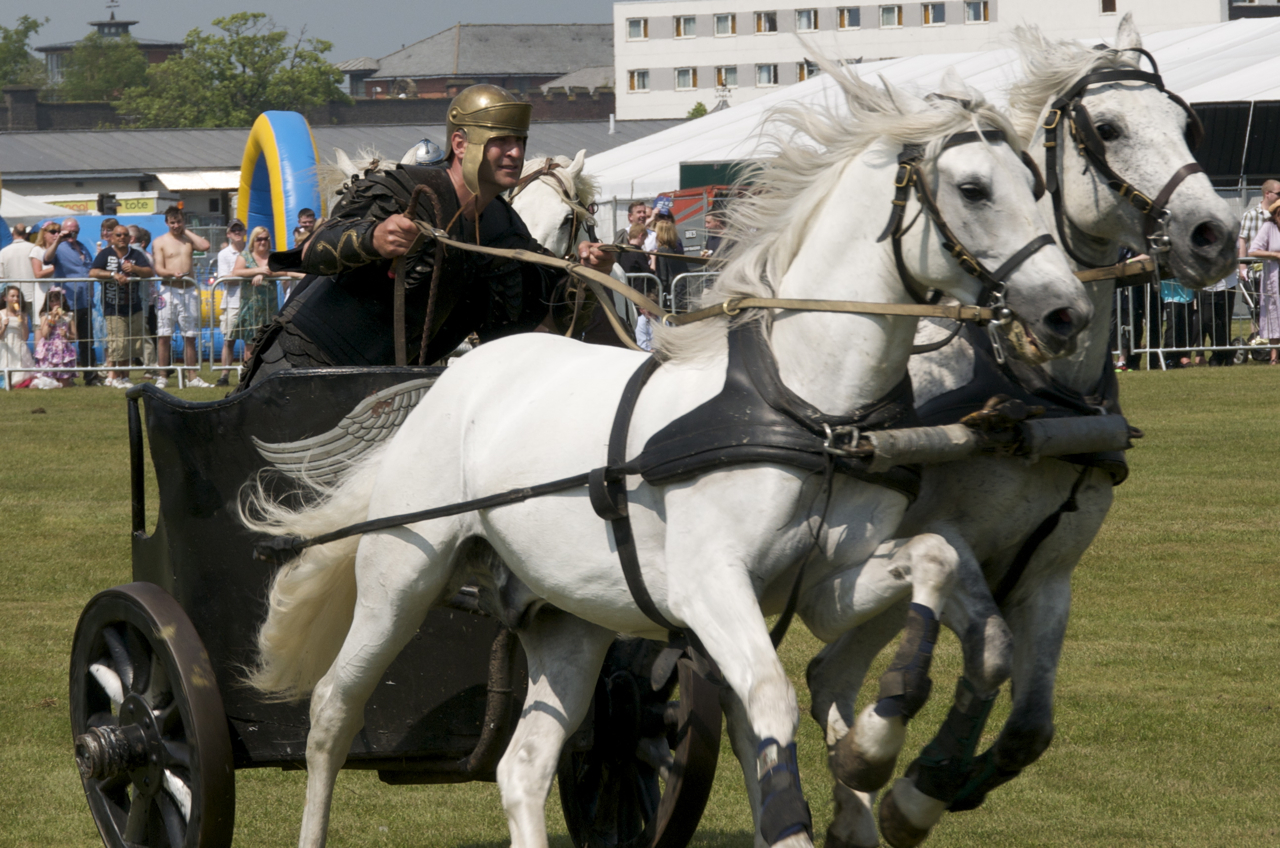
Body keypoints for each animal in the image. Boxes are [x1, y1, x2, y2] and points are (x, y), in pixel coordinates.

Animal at [240, 71, 1090, 848]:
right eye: (974, 189)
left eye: (1037, 184)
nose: (1067, 311)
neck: (804, 403)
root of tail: (450, 380)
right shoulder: (711, 585)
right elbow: (770, 702)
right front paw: (868, 763)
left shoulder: (826, 584)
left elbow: (937, 557)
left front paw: (886, 753)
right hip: (400, 577)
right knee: (333, 711)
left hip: (569, 618)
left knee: (524, 764)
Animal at [803, 18, 1233, 848]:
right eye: (1108, 128)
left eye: (1187, 123)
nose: (1215, 234)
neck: (1035, 390)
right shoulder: (948, 540)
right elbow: (987, 656)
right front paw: (916, 790)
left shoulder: (1050, 574)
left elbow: (1031, 723)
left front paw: (940, 783)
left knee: (829, 674)